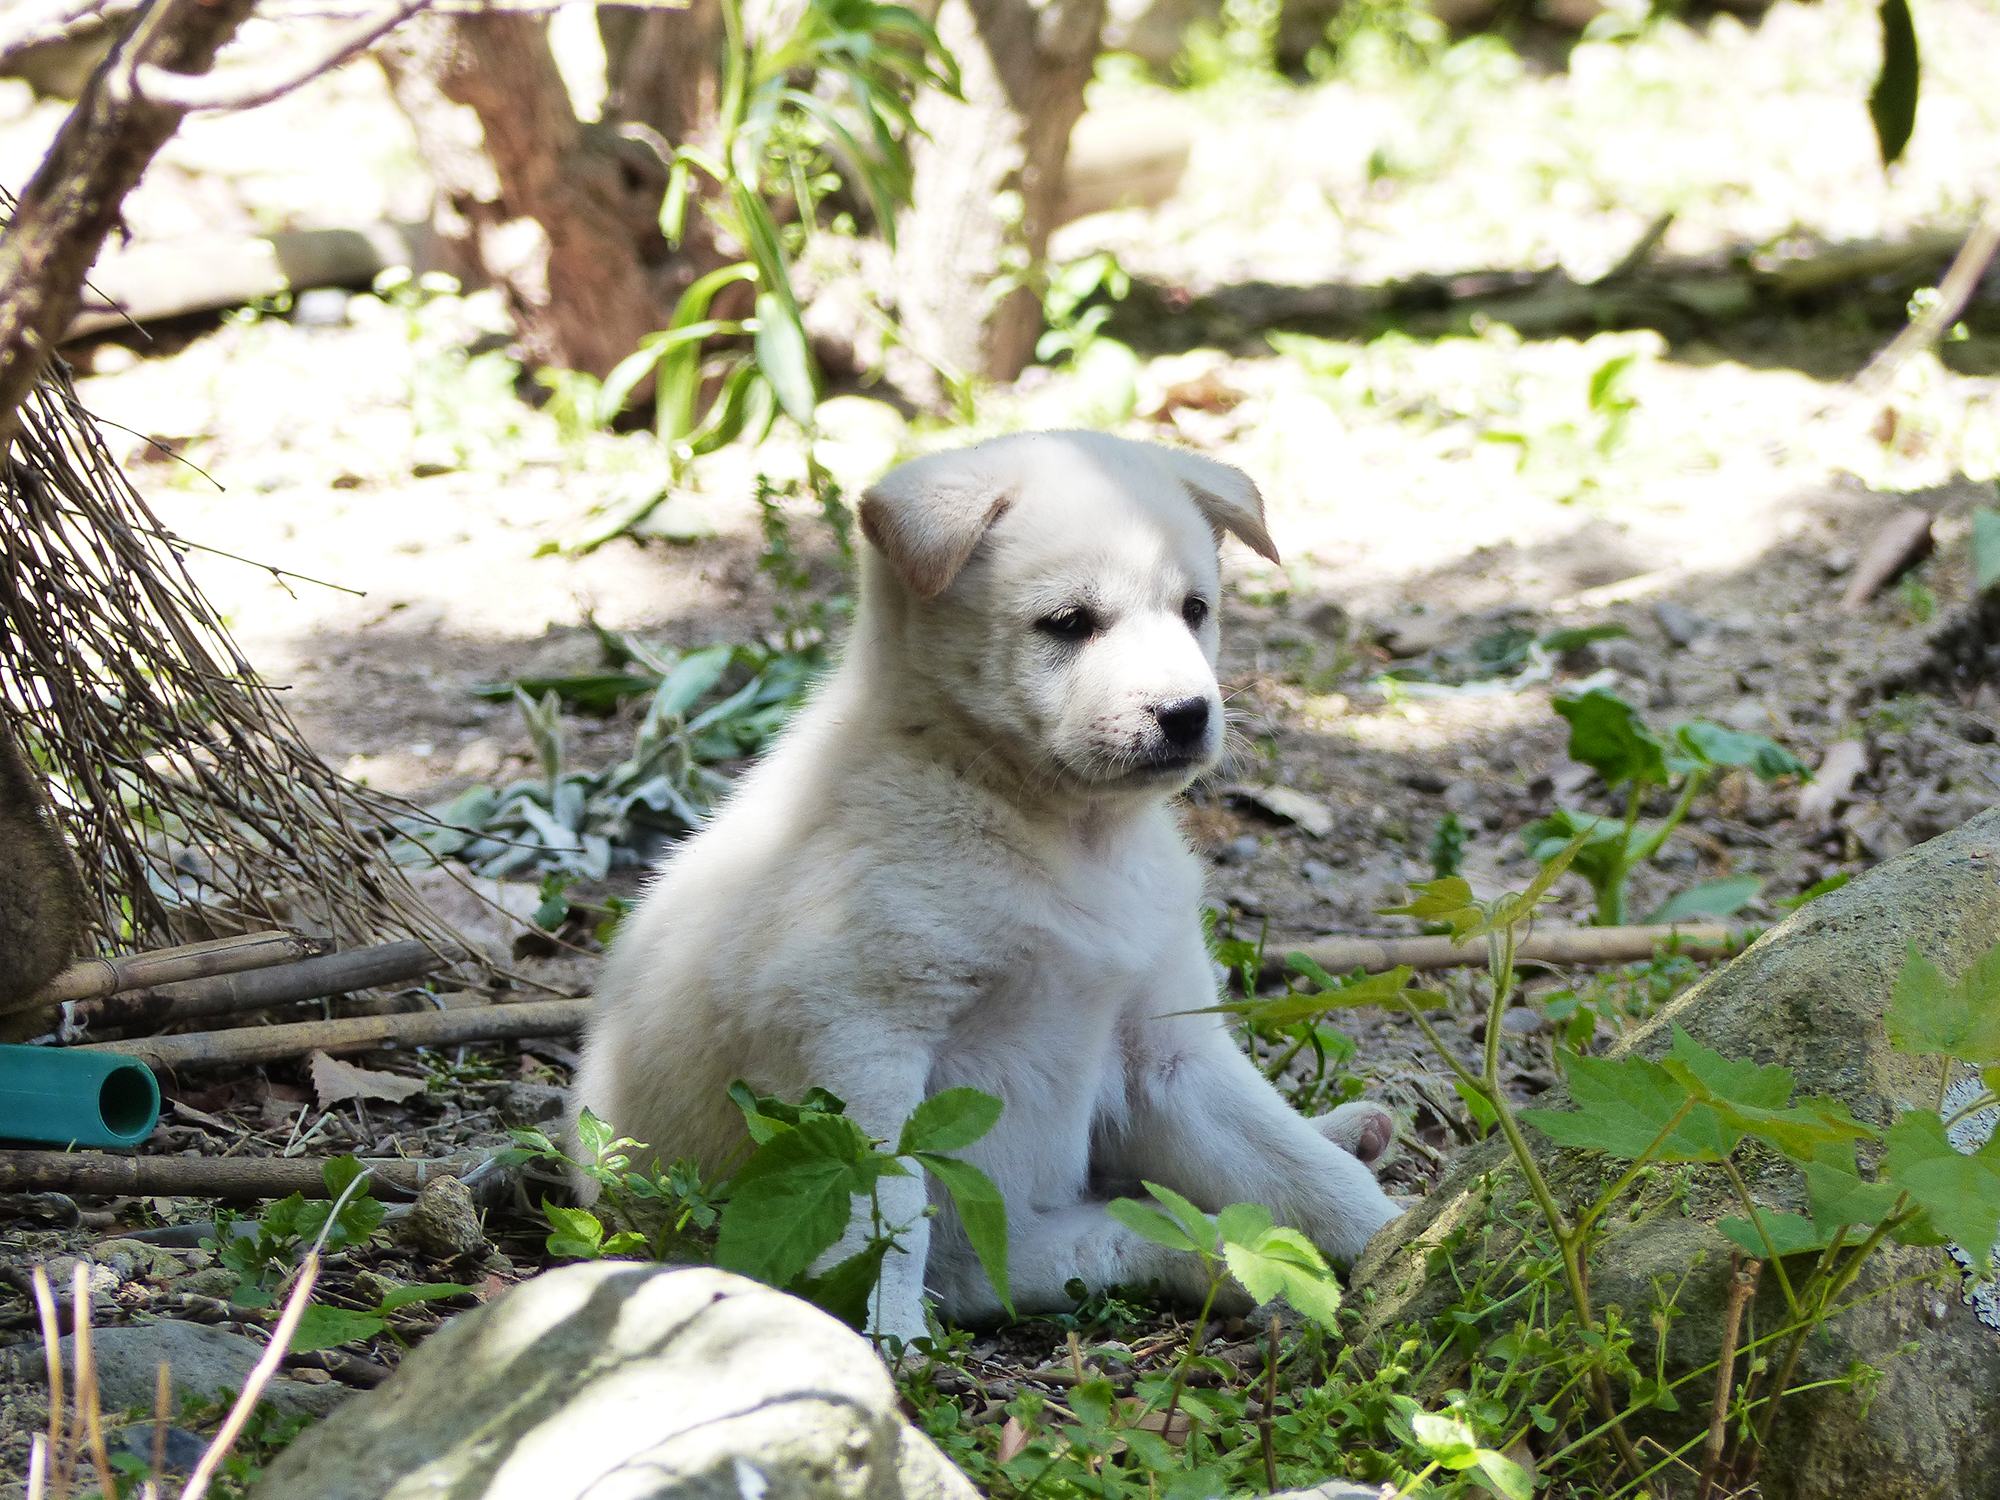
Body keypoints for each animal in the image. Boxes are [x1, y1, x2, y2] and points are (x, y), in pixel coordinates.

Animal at [572, 432, 1400, 1336]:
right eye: (1068, 623)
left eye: (1194, 610)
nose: (1186, 714)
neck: (1062, 835)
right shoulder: (861, 1044)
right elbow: (882, 1212)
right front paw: (888, 1340)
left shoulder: (1168, 1051)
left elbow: (1299, 1169)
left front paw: (1412, 1244)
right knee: (1128, 1234)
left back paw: (1342, 1141)